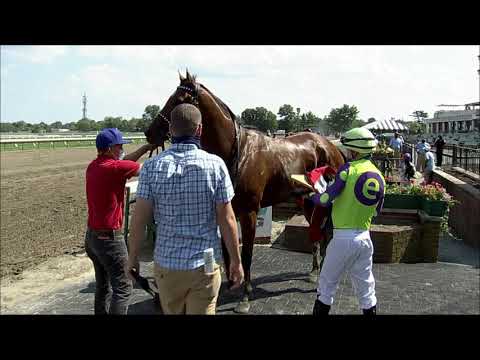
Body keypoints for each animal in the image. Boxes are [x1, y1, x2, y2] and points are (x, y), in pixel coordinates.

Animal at [144, 70, 344, 312]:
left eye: (179, 100)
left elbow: (246, 253)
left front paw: (245, 297)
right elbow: (228, 252)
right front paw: (228, 287)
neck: (238, 154)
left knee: (328, 234)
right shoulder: (224, 210)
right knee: (318, 233)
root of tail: (329, 145)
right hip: (305, 200)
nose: (149, 132)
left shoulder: (249, 212)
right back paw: (314, 271)